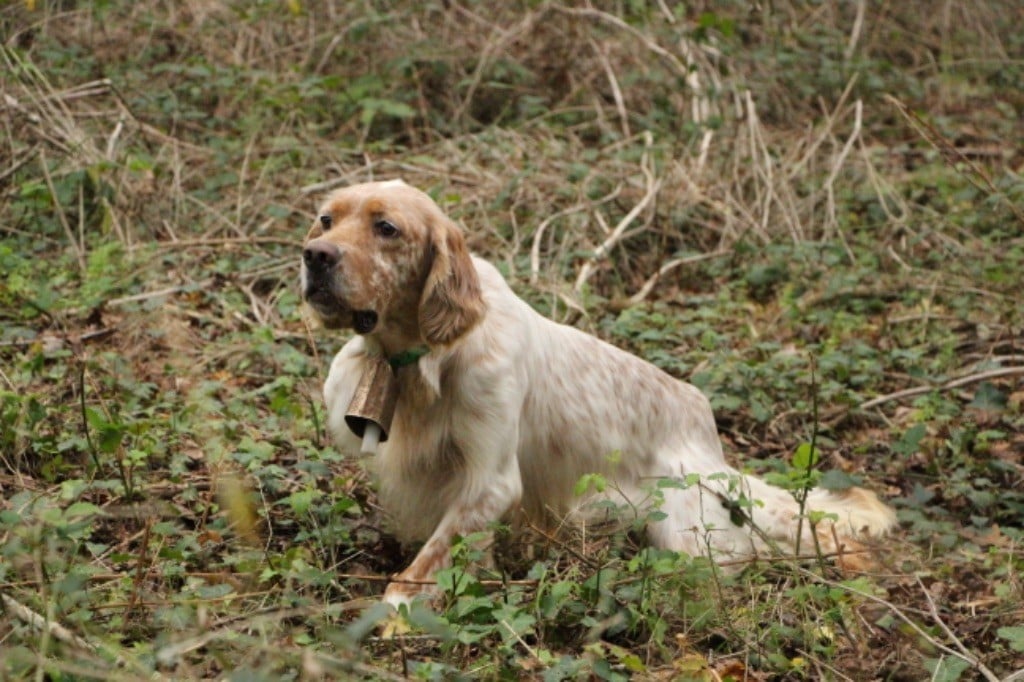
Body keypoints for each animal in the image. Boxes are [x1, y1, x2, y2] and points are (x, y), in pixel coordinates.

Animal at [299, 178, 892, 602]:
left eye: (387, 228)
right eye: (327, 219)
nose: (315, 255)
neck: (424, 355)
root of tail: (709, 439)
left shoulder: (490, 482)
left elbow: (414, 577)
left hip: (686, 538)